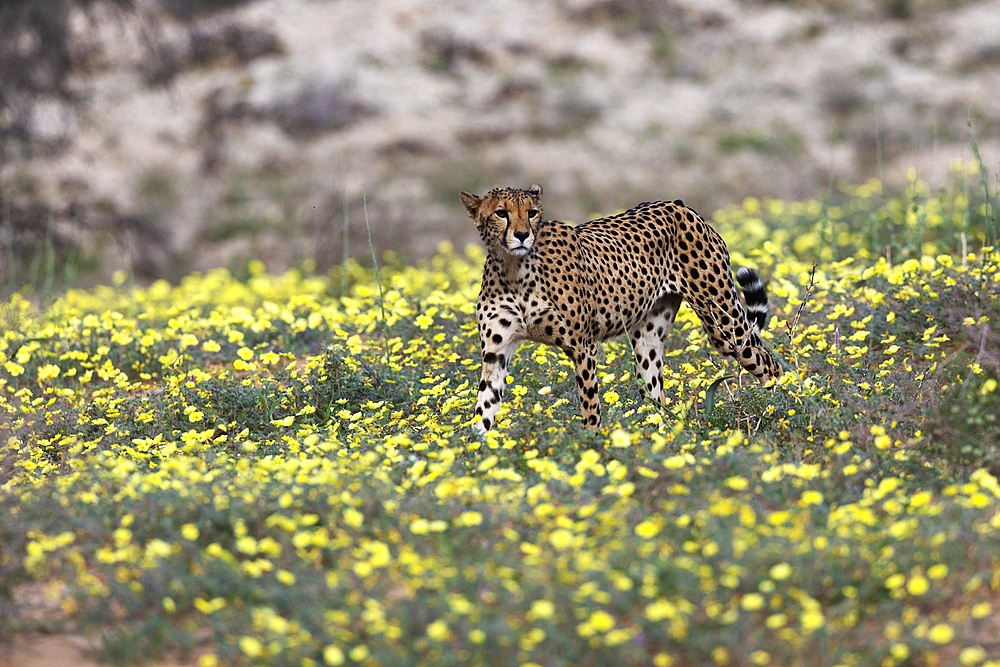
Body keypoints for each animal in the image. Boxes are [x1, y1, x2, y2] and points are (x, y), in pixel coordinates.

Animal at [460, 184, 780, 434]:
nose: (523, 234)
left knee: (769, 364)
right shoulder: (496, 352)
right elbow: (484, 409)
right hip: (648, 340)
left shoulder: (583, 347)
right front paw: (473, 458)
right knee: (656, 397)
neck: (513, 268)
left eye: (532, 213)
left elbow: (589, 406)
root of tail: (679, 205)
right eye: (501, 213)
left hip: (723, 324)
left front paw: (593, 446)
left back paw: (778, 412)